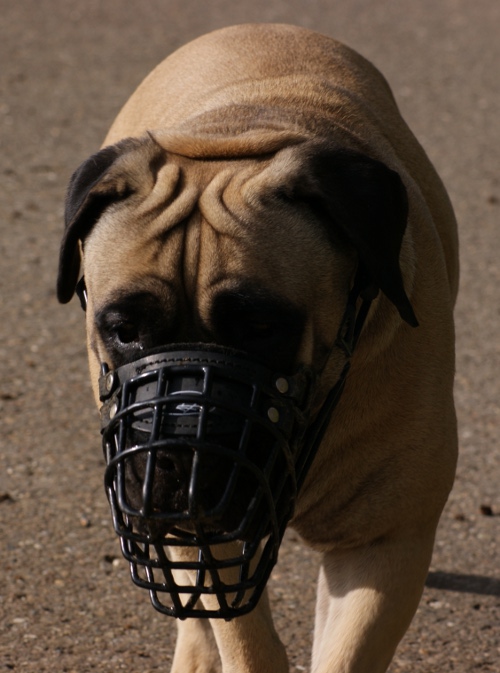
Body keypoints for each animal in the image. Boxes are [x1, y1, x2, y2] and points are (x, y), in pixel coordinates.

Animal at [56, 22, 458, 672]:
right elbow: (244, 636)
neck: (238, 139)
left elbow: (347, 651)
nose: (180, 450)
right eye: (123, 329)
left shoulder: (385, 542)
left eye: (261, 326)